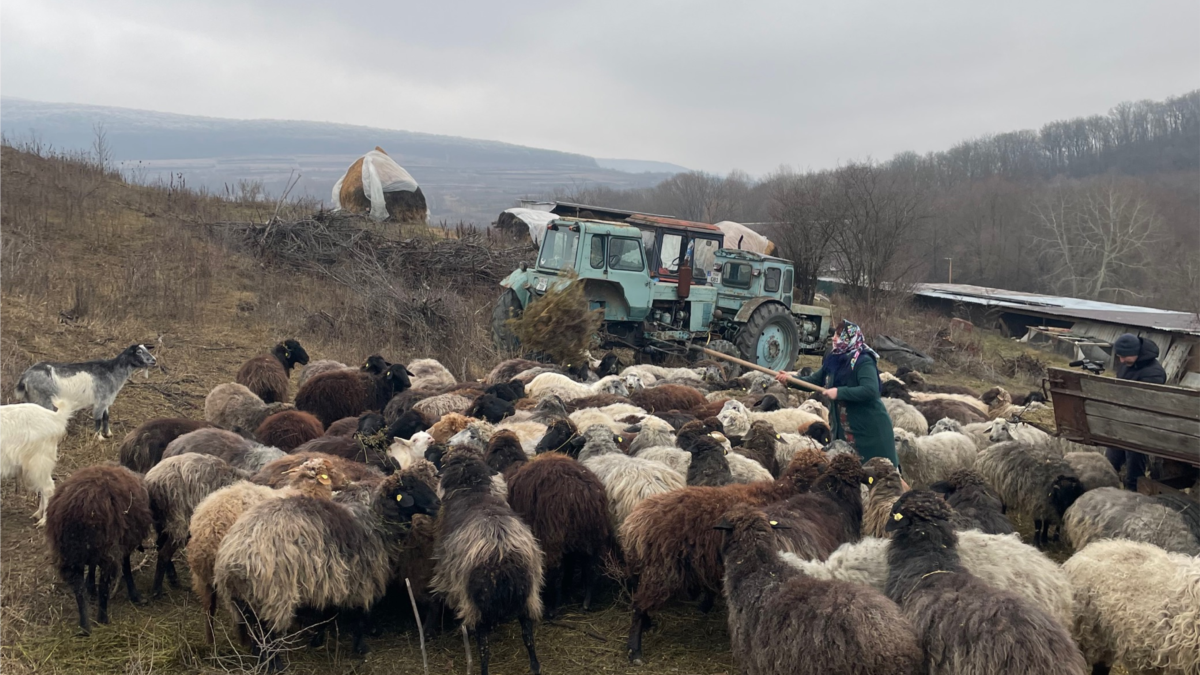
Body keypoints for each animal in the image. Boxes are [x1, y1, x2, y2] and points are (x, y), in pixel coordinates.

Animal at [45, 466, 152, 634]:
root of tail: (76, 507)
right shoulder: (122, 542)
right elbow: (126, 567)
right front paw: (135, 595)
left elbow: (92, 566)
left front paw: (90, 587)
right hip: (107, 549)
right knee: (104, 585)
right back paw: (102, 619)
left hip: (70, 553)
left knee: (78, 589)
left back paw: (85, 626)